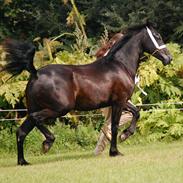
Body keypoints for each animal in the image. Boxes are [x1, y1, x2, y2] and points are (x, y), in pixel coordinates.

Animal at [2, 22, 172, 165]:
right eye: (157, 36)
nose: (168, 58)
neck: (120, 65)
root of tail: (36, 74)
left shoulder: (122, 101)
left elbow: (136, 112)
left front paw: (125, 135)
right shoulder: (119, 102)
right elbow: (115, 126)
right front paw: (115, 151)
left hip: (37, 108)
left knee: (22, 131)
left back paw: (23, 161)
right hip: (59, 108)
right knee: (35, 119)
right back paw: (47, 143)